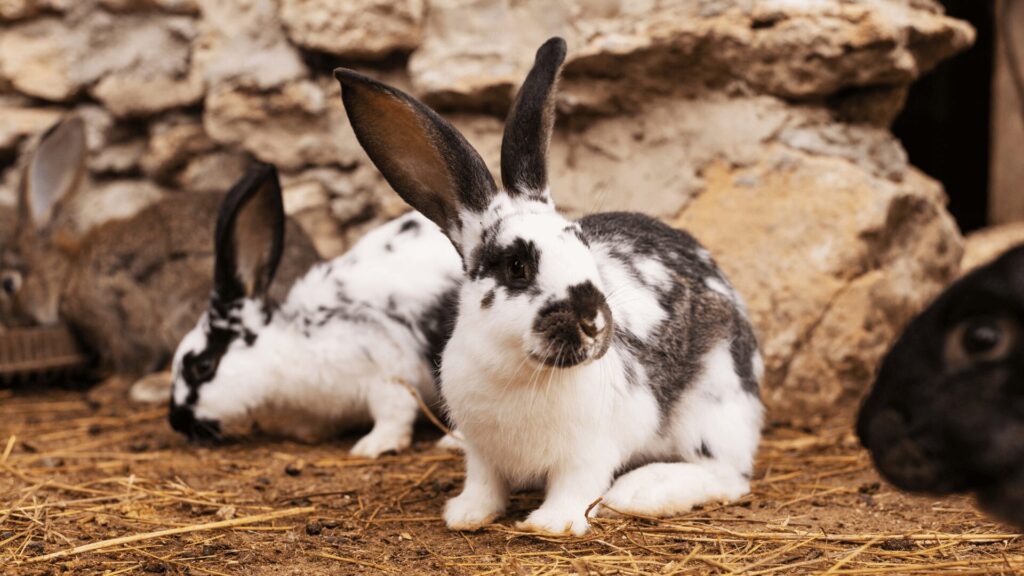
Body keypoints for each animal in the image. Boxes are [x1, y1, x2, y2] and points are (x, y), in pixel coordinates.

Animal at [335, 39, 761, 532]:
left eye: (582, 244)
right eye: (517, 265)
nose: (594, 321)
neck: (518, 369)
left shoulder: (590, 450)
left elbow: (576, 487)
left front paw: (549, 524)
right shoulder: (481, 452)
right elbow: (483, 484)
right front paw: (466, 515)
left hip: (713, 406)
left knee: (727, 475)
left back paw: (640, 492)